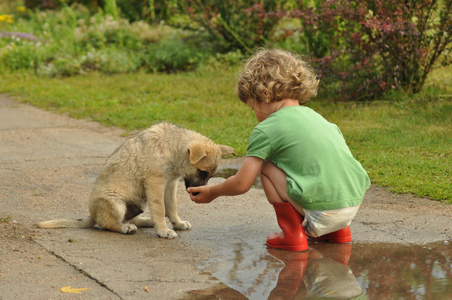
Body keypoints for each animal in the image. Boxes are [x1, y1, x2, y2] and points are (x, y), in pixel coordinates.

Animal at [37, 122, 235, 239]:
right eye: (202, 172)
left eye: (210, 175)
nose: (197, 193)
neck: (172, 148)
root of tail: (92, 215)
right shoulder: (156, 183)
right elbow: (160, 208)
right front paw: (164, 230)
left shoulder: (170, 184)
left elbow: (171, 207)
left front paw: (177, 223)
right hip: (115, 202)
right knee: (109, 224)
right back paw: (125, 228)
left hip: (138, 203)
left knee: (132, 218)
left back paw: (145, 221)